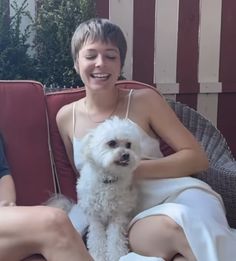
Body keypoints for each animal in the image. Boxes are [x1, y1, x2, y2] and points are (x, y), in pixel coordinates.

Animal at [76, 116, 141, 260]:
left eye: (129, 145)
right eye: (112, 143)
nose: (126, 154)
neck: (108, 181)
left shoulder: (118, 215)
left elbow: (115, 239)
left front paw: (116, 255)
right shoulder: (94, 216)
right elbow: (96, 238)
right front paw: (98, 255)